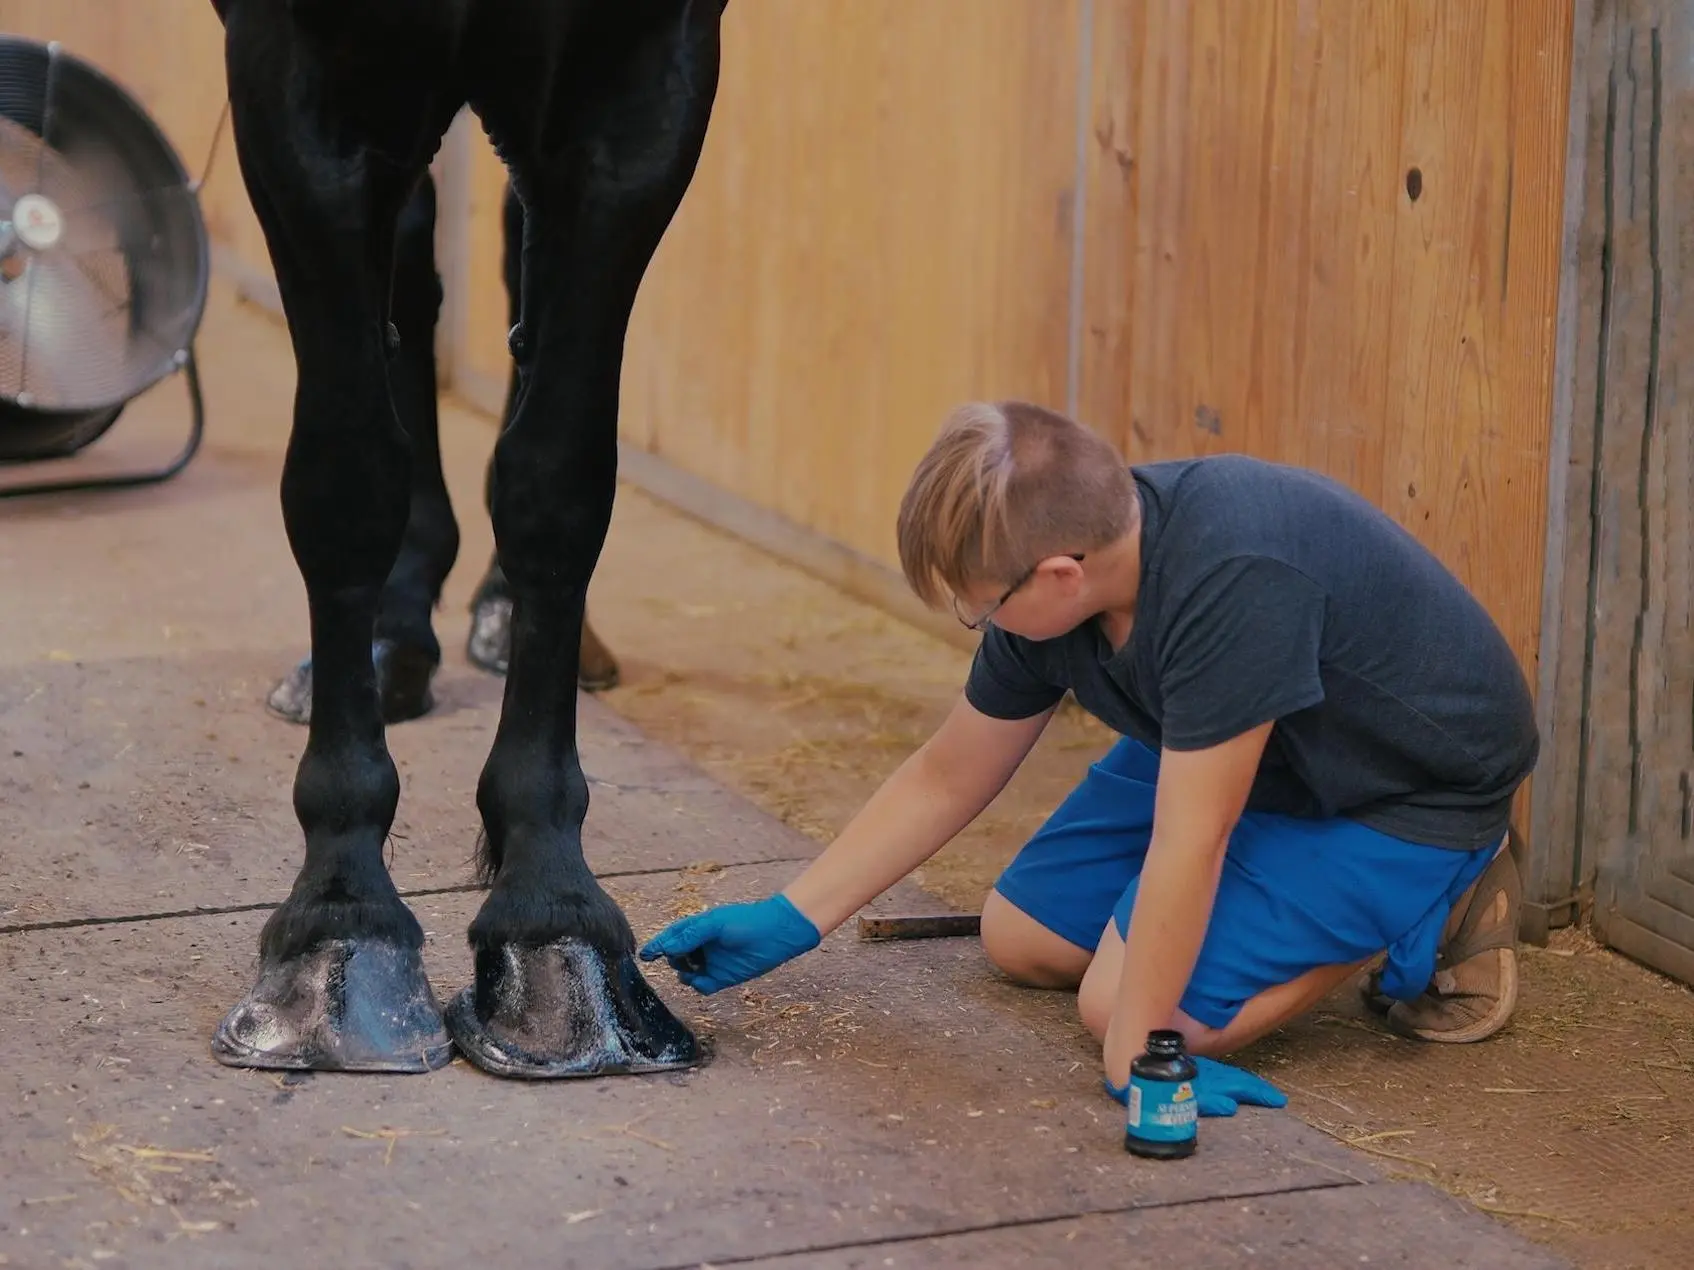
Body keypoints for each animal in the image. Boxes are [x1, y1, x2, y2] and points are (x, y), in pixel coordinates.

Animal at [208, 0, 725, 1076]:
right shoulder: (296, 80)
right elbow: (347, 480)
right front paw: (339, 921)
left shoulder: (644, 83)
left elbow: (558, 481)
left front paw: (555, 924)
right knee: (408, 267)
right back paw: (391, 635)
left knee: (515, 245)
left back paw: (489, 610)